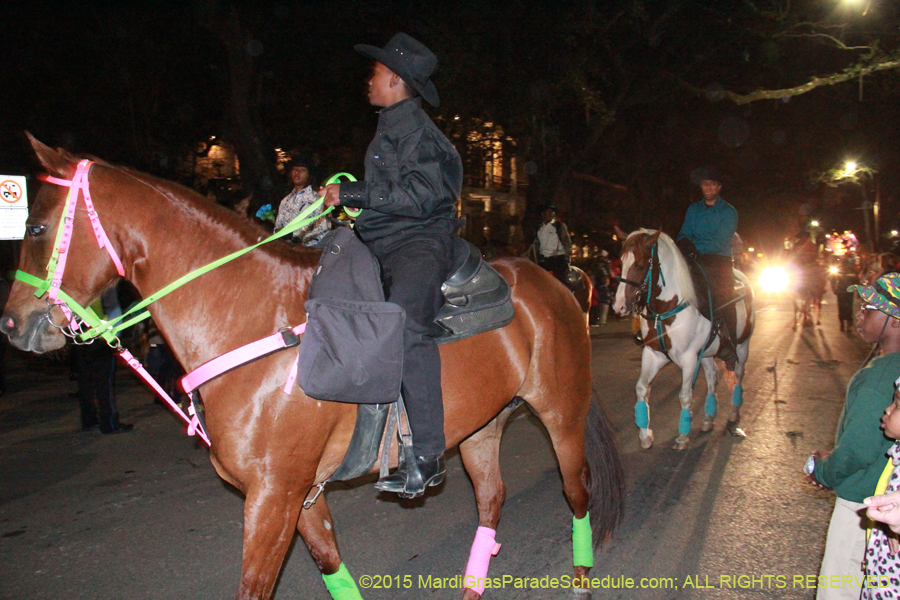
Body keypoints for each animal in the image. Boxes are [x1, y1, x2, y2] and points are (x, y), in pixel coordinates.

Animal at [5, 136, 624, 600]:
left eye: (35, 228)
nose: (13, 324)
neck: (253, 318)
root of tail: (554, 285)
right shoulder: (298, 495)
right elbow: (332, 567)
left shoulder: (272, 497)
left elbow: (255, 586)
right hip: (480, 425)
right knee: (492, 499)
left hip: (561, 416)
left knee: (578, 494)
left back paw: (580, 580)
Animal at [612, 230, 752, 450]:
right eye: (621, 261)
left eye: (641, 265)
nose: (618, 307)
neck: (665, 308)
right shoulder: (654, 354)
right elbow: (641, 389)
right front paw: (645, 436)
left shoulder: (688, 359)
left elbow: (685, 396)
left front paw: (682, 437)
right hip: (707, 353)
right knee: (712, 377)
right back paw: (708, 419)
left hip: (742, 346)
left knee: (738, 375)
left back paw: (733, 413)